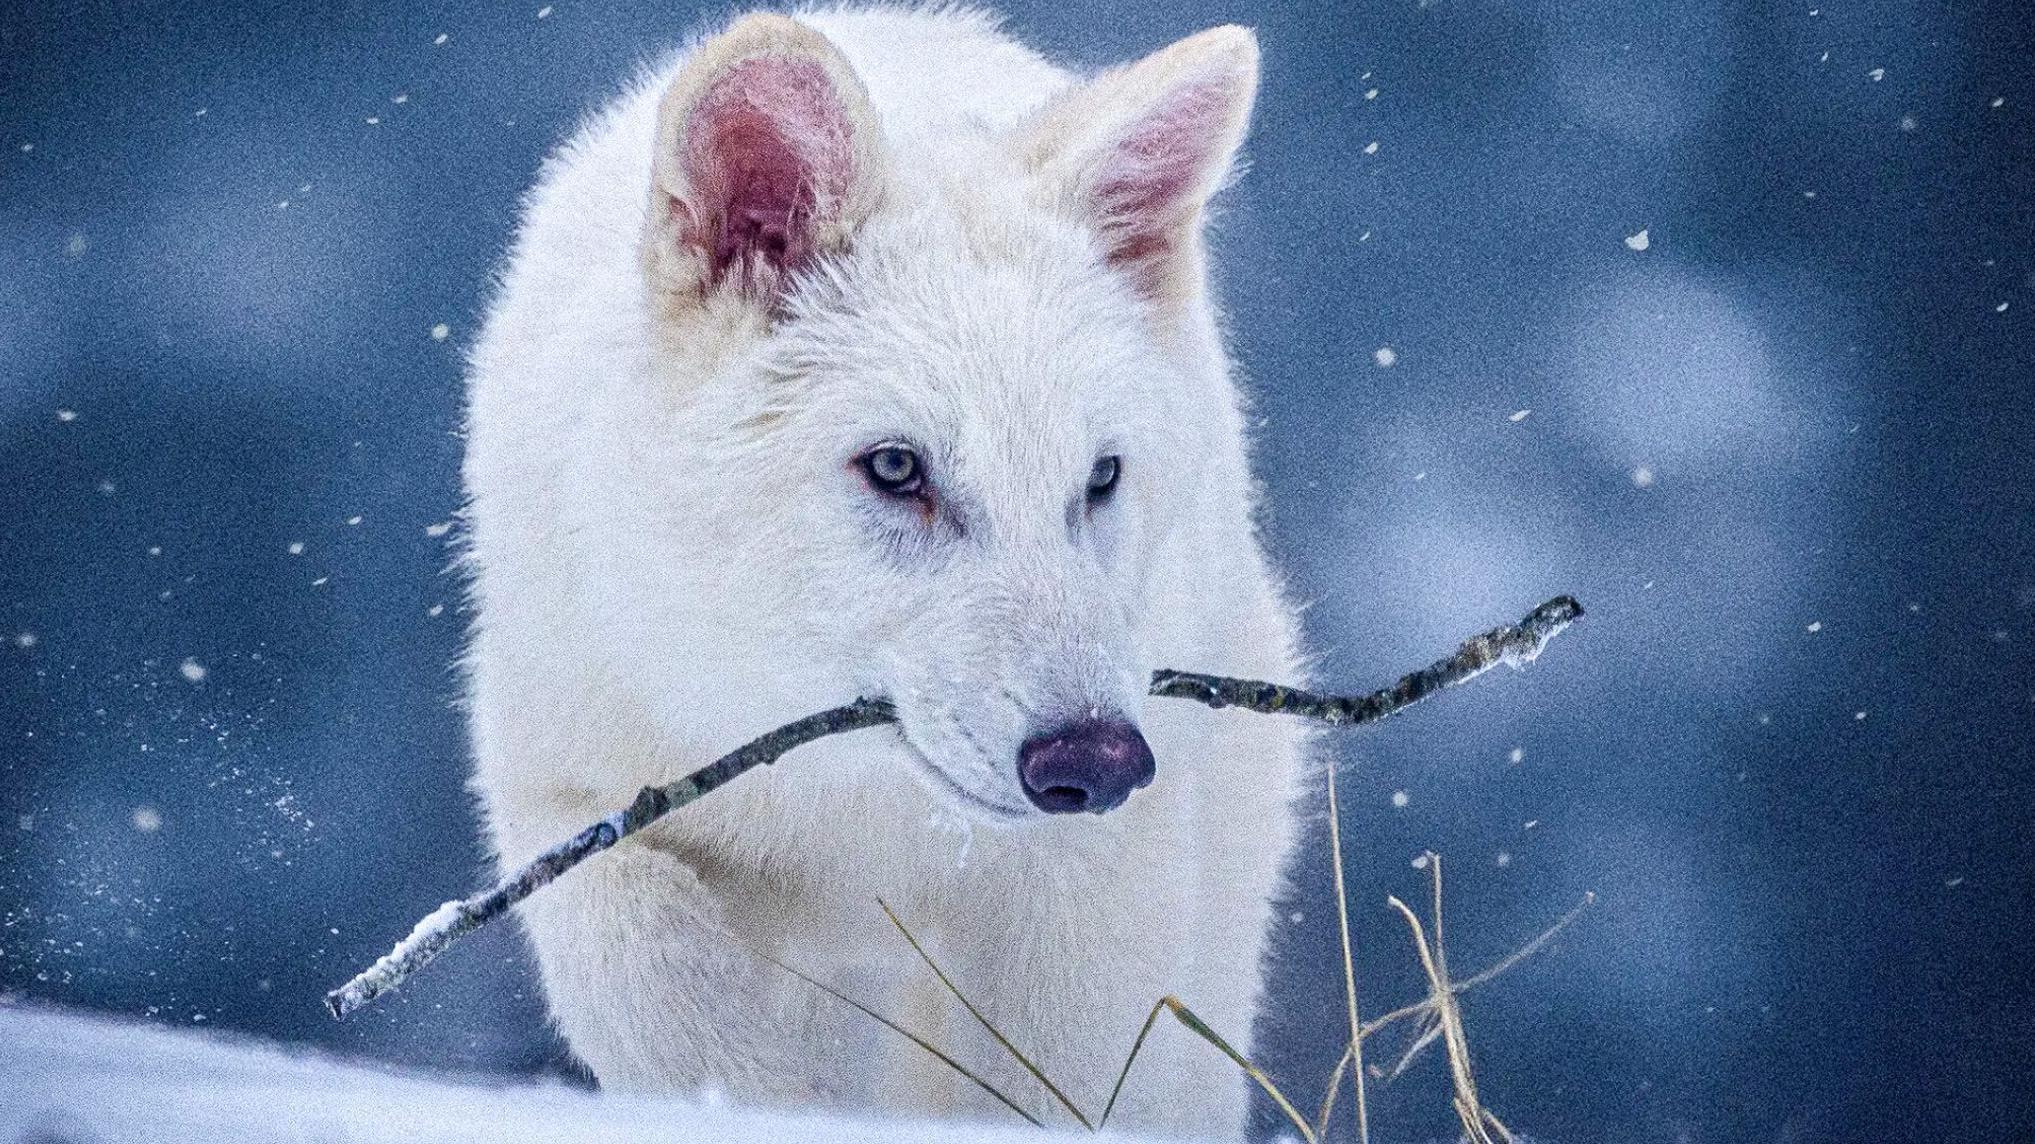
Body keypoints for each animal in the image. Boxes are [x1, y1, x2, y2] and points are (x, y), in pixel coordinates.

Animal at [462, 5, 1311, 1137]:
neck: (848, 798)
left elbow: (1056, 1086)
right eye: (897, 468)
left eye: (1099, 477)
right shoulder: (571, 800)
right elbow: (664, 986)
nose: (1096, 762)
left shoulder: (1088, 881)